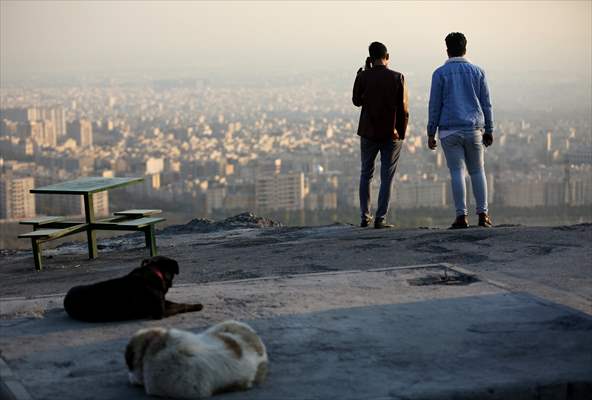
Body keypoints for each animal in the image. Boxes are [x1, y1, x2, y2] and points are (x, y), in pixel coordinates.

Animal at [61, 256, 201, 322]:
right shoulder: (159, 312)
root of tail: (66, 297)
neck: (154, 272)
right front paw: (197, 306)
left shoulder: (163, 301)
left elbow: (176, 303)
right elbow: (180, 306)